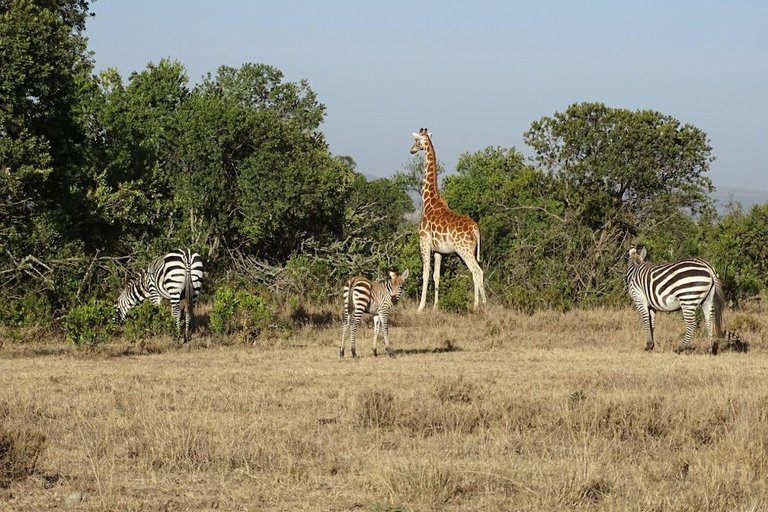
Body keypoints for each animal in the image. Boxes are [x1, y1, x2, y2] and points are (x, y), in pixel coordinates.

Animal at [408, 130, 486, 310]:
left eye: (417, 141)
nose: (412, 150)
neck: (428, 201)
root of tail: (476, 229)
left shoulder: (424, 241)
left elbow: (425, 273)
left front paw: (420, 307)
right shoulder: (438, 251)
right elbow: (436, 275)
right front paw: (436, 306)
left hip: (464, 250)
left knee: (477, 271)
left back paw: (479, 305)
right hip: (471, 250)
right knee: (477, 272)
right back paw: (482, 304)